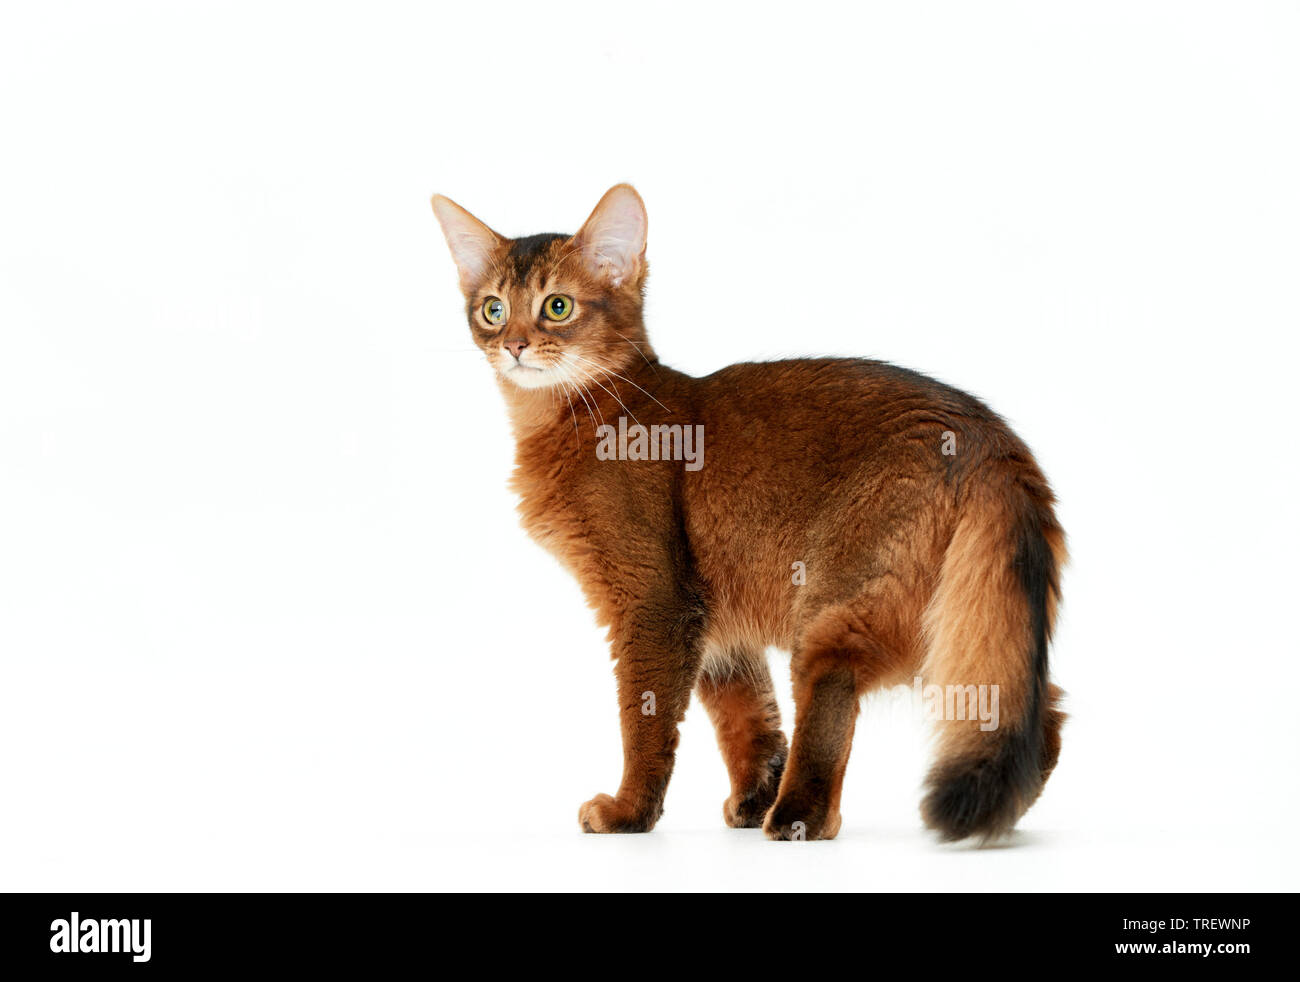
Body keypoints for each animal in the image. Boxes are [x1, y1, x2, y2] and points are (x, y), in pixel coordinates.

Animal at [431, 185, 1060, 842]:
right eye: (494, 309)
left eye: (557, 306)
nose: (514, 345)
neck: (579, 416)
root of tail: (988, 438)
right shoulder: (714, 622)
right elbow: (746, 716)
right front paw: (753, 793)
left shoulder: (653, 601)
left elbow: (646, 721)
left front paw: (631, 811)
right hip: (957, 607)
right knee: (1034, 708)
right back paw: (997, 815)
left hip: (843, 605)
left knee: (835, 699)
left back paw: (801, 816)